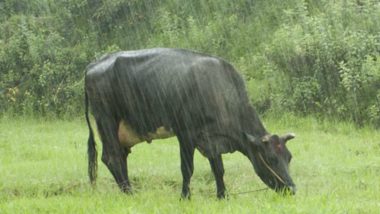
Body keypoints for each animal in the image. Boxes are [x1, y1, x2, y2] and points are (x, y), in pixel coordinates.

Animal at [84, 48, 296, 199]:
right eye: (271, 159)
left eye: (289, 157)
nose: (292, 189)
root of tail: (94, 64)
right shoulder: (185, 133)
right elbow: (187, 169)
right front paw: (185, 197)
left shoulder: (212, 138)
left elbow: (218, 168)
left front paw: (223, 196)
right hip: (106, 121)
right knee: (111, 158)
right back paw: (129, 193)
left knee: (120, 157)